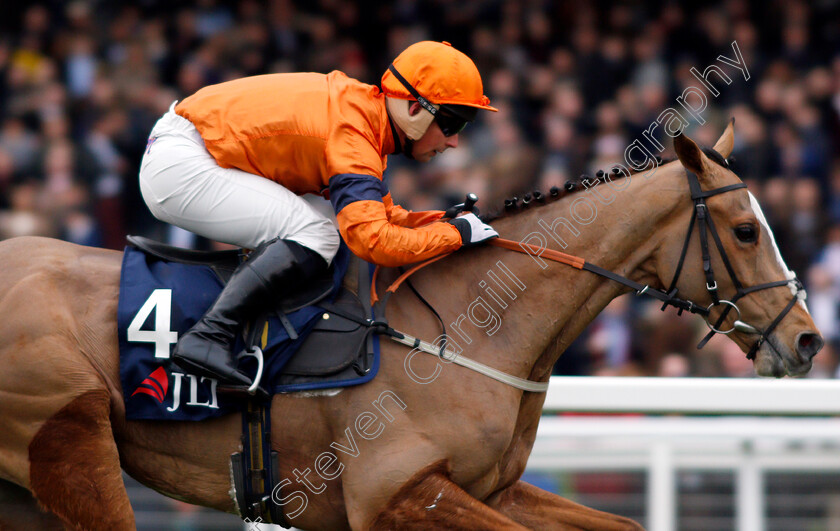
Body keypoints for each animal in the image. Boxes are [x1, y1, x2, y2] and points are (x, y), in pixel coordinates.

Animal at [0, 122, 824, 528]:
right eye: (746, 230)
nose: (809, 339)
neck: (473, 328)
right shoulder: (396, 493)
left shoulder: (492, 488)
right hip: (65, 444)